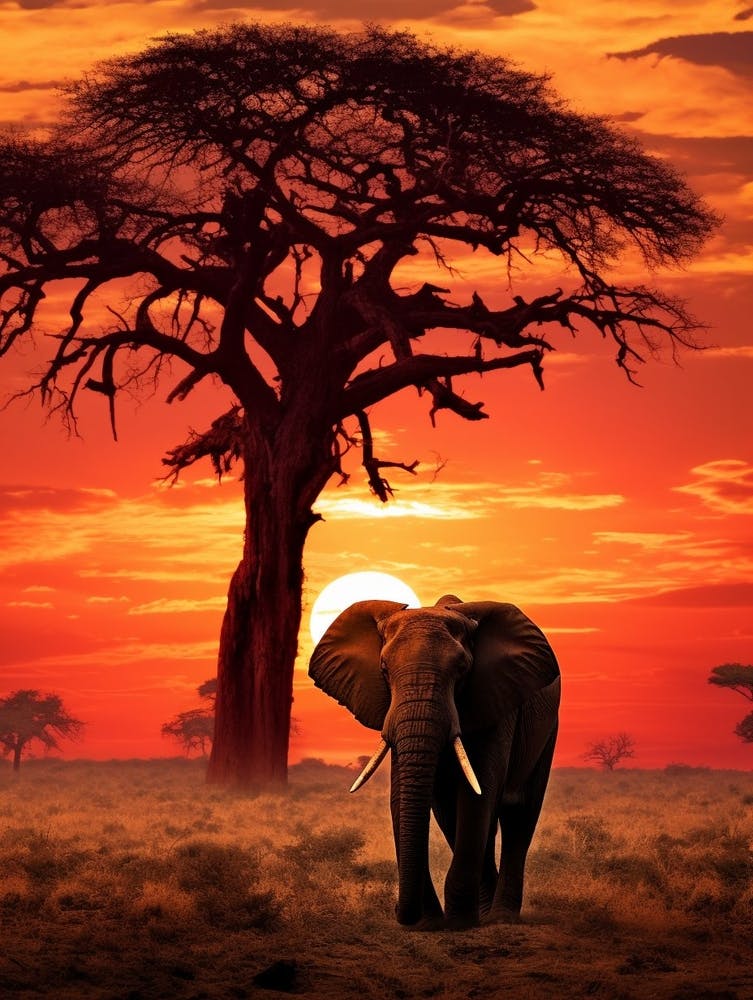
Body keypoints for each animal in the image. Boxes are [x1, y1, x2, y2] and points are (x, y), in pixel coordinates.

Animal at [308, 595, 560, 930]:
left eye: (463, 669)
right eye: (384, 669)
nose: (400, 913)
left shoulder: (495, 701)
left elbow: (479, 792)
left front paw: (459, 923)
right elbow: (404, 795)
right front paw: (431, 923)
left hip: (547, 728)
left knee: (519, 815)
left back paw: (500, 916)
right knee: (452, 816)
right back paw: (483, 911)